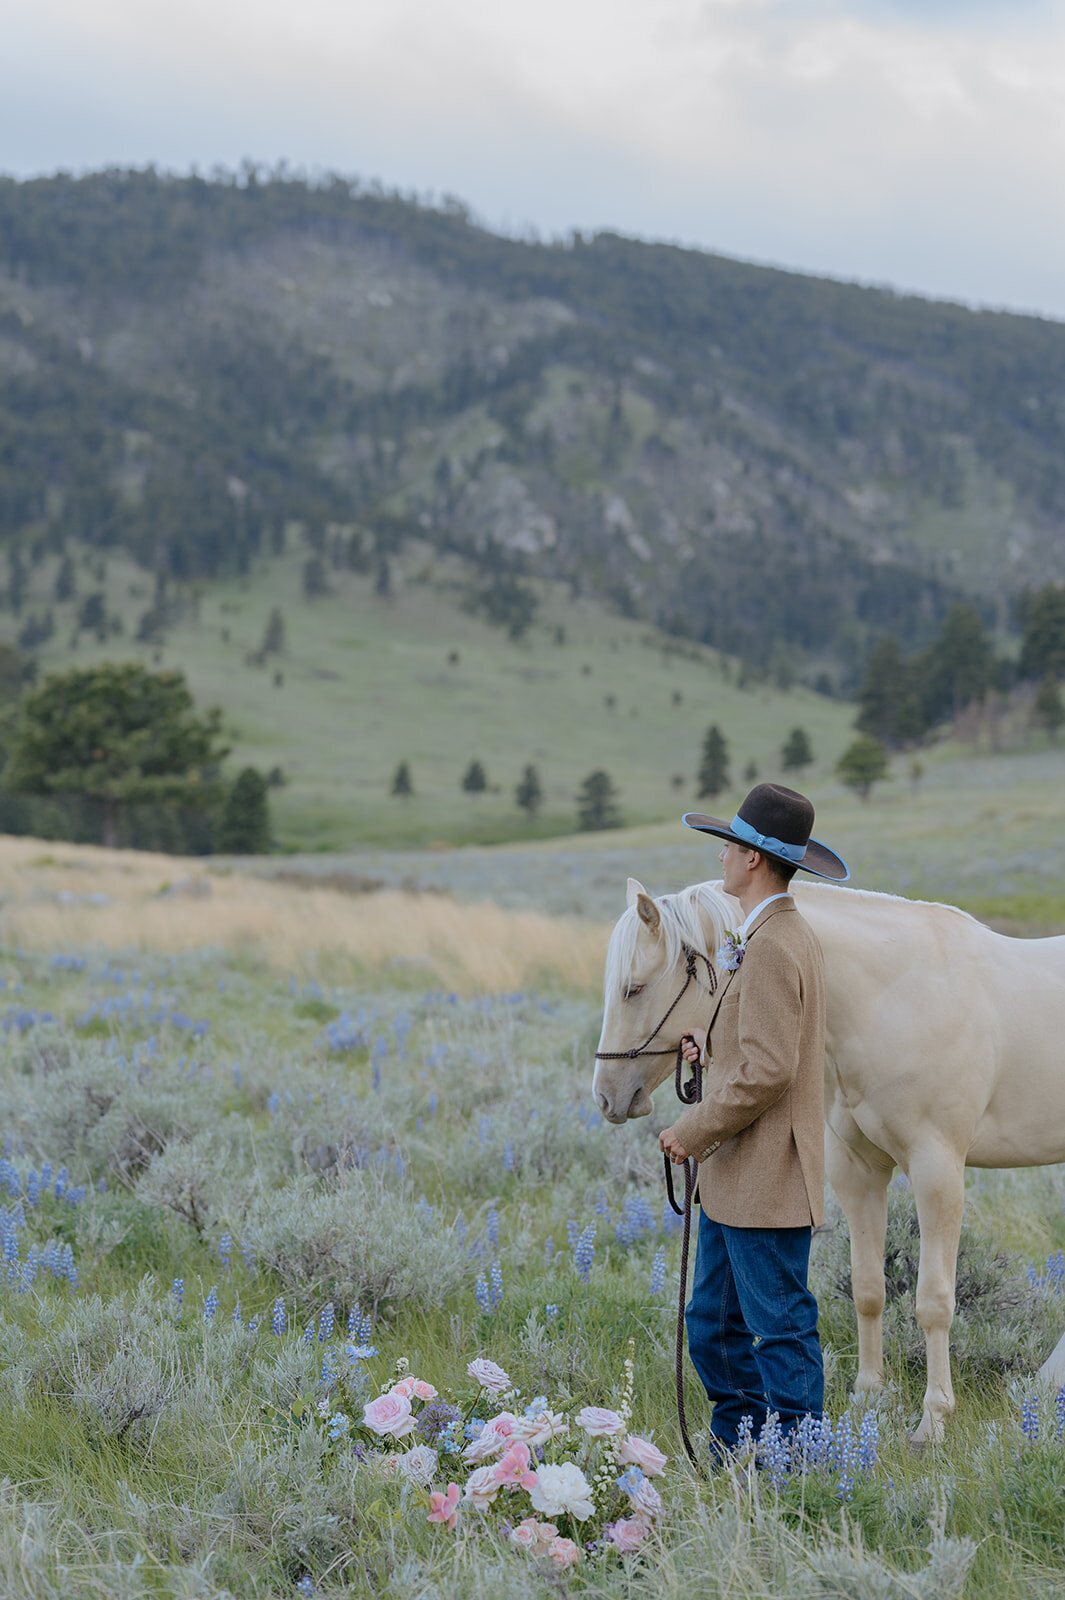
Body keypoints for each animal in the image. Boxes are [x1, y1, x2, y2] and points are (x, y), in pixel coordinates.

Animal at [588, 876, 1061, 1452]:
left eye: (633, 989)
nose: (607, 1096)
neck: (897, 997)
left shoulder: (938, 1172)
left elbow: (933, 1300)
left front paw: (931, 1422)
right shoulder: (858, 1172)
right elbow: (868, 1288)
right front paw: (869, 1398)